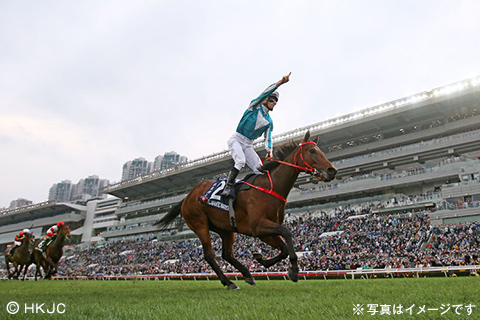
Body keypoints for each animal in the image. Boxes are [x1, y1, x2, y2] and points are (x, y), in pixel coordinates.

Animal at [156, 131, 336, 290]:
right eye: (312, 150)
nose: (332, 170)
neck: (270, 187)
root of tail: (187, 196)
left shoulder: (264, 232)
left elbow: (284, 248)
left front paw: (262, 260)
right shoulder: (258, 226)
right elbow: (287, 233)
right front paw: (293, 270)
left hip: (226, 229)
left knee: (227, 254)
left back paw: (247, 274)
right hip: (200, 225)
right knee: (209, 255)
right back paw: (229, 282)